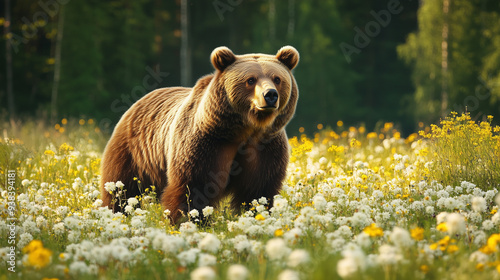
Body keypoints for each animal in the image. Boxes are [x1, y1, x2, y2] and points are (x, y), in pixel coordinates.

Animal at [99, 46, 298, 222]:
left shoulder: (265, 147)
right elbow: (194, 186)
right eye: (250, 80)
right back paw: (116, 211)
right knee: (121, 187)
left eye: (277, 79)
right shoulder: (207, 142)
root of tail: (139, 101)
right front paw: (190, 220)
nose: (270, 95)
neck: (245, 130)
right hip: (134, 153)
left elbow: (258, 189)